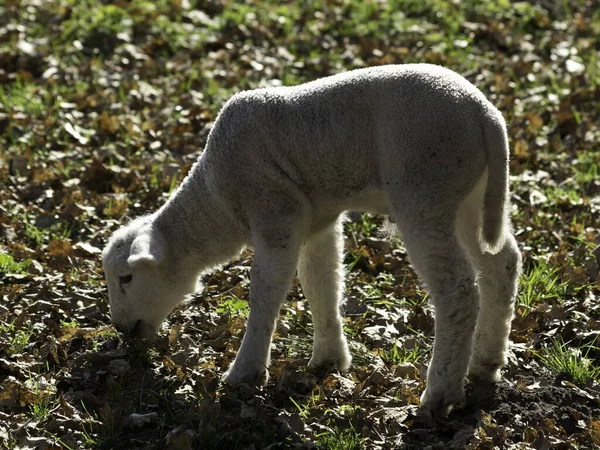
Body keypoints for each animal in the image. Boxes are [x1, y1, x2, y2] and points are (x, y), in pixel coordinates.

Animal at [102, 64, 520, 422]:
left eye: (126, 278)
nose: (120, 328)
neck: (217, 200)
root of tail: (487, 116)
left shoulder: (274, 210)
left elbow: (266, 292)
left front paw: (245, 373)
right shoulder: (319, 221)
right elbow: (322, 282)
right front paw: (329, 360)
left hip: (426, 188)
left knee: (457, 290)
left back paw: (440, 392)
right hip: (470, 193)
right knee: (502, 262)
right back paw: (486, 362)